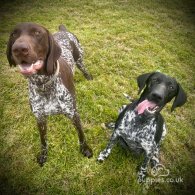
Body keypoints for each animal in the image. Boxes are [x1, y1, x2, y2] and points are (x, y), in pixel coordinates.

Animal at [6, 22, 93, 166]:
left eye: (37, 33)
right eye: (14, 34)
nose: (18, 49)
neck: (44, 84)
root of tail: (63, 30)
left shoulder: (74, 114)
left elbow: (81, 135)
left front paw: (85, 149)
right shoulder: (40, 119)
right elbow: (43, 141)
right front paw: (43, 155)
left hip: (79, 59)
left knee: (85, 69)